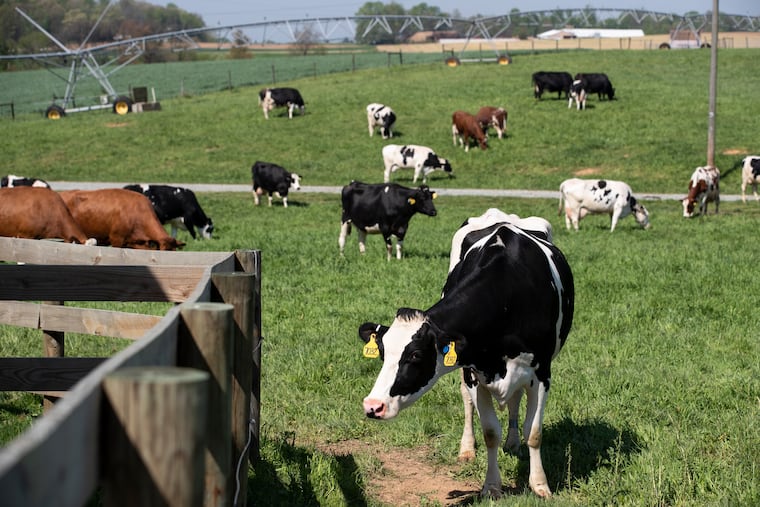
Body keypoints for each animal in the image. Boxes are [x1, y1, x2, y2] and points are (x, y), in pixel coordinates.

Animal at [358, 211, 574, 499]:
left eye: (415, 355)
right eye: (383, 354)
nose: (372, 406)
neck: (507, 296)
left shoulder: (541, 373)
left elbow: (534, 432)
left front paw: (540, 486)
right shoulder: (474, 372)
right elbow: (490, 432)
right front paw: (491, 486)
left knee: (515, 398)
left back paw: (513, 443)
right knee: (469, 403)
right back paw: (467, 449)